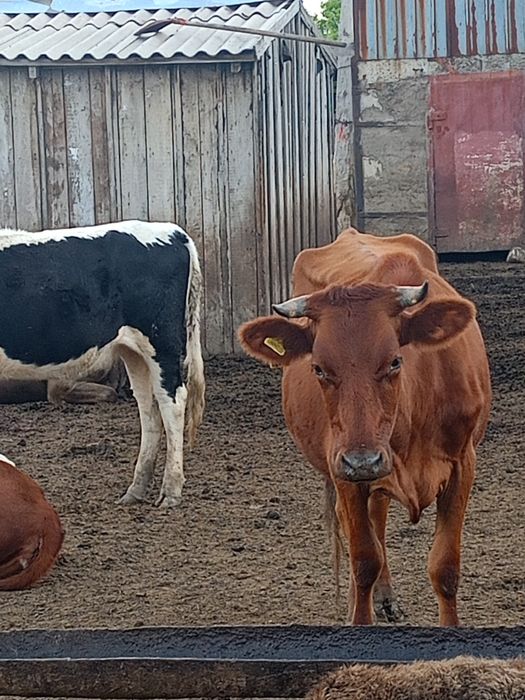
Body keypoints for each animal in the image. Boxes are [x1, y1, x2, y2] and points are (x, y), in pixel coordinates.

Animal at [0, 220, 205, 508]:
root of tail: (171, 230)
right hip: (133, 350)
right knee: (148, 406)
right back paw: (136, 489)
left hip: (161, 342)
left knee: (172, 403)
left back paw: (171, 491)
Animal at [239, 228, 491, 626]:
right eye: (319, 368)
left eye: (394, 361)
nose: (363, 461)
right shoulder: (344, 468)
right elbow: (364, 561)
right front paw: (359, 616)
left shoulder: (462, 464)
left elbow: (445, 568)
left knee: (379, 515)